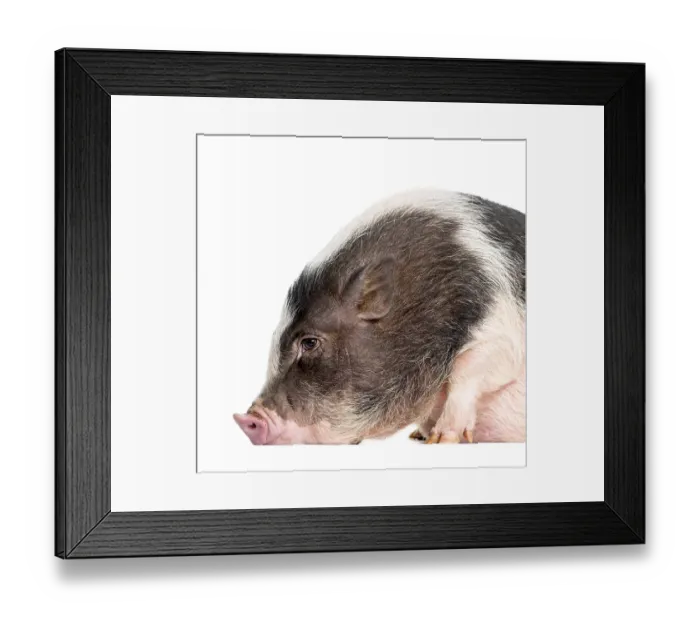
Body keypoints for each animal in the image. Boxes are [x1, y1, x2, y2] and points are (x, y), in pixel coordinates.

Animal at [233, 188, 526, 445]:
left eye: (310, 342)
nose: (246, 419)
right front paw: (423, 436)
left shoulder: (501, 333)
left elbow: (469, 367)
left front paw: (441, 440)